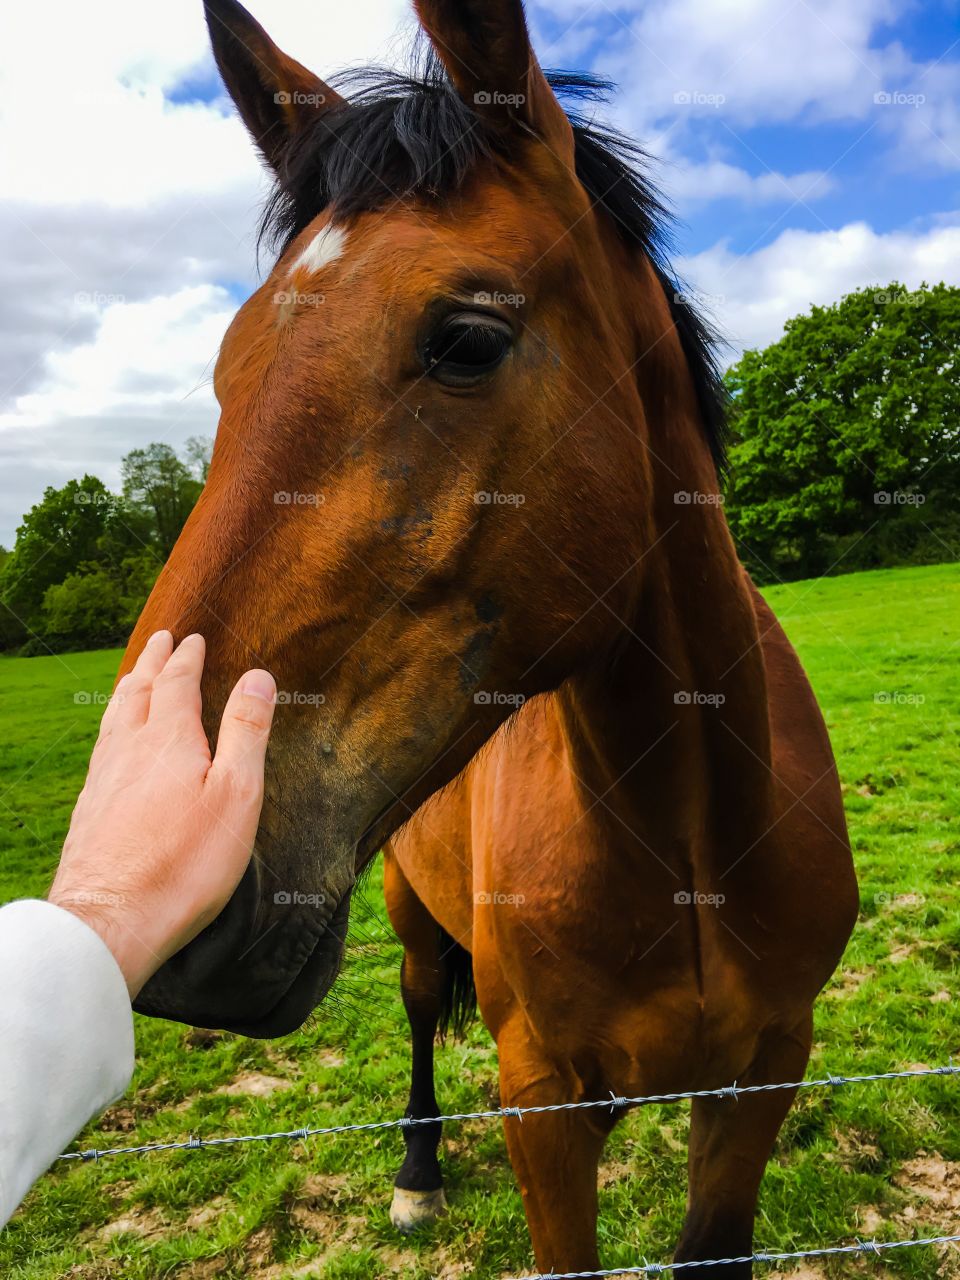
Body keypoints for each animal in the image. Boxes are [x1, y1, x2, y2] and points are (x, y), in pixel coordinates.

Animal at [122, 0, 865, 1269]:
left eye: (466, 339)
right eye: (229, 370)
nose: (160, 874)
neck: (691, 846)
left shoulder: (764, 1077)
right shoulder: (544, 1102)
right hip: (407, 919)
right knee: (424, 1009)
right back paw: (417, 1169)